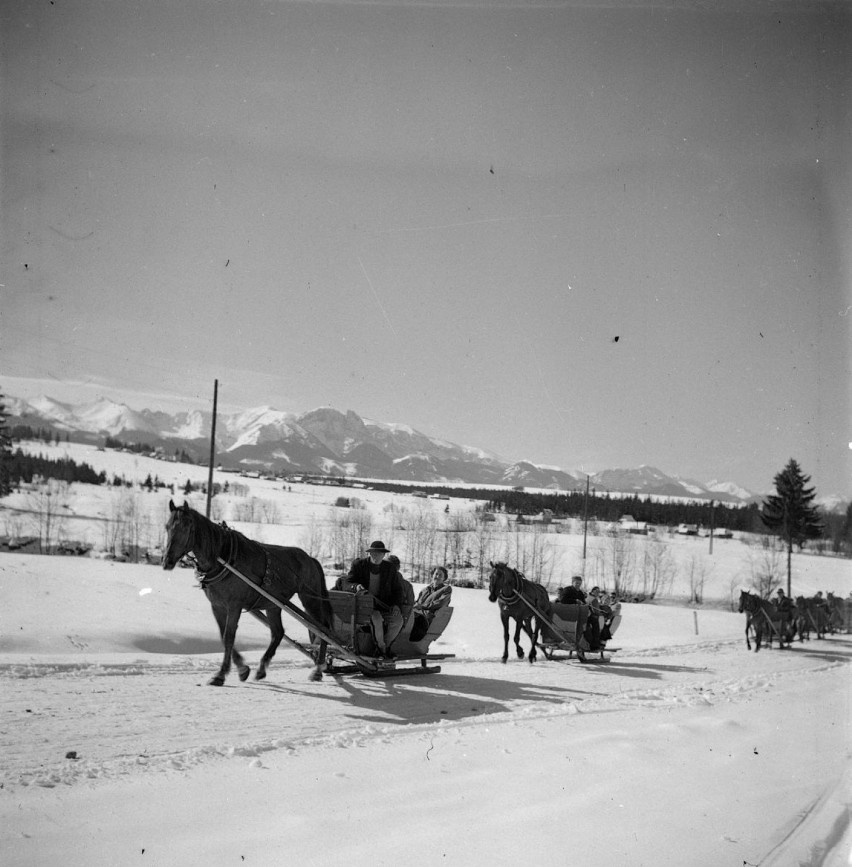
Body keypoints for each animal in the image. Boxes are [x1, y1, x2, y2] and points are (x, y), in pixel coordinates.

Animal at [163, 498, 332, 688]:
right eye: (167, 526)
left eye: (186, 527)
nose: (167, 561)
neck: (223, 558)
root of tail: (311, 559)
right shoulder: (217, 606)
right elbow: (223, 636)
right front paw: (243, 669)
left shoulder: (234, 606)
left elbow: (229, 636)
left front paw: (221, 674)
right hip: (273, 605)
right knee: (278, 632)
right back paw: (262, 669)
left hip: (309, 598)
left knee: (322, 629)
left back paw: (318, 669)